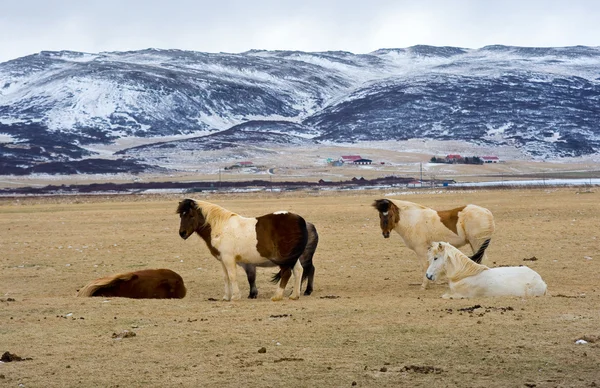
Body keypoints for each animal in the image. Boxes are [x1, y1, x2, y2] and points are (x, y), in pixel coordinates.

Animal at [175, 199, 308, 302]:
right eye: (181, 215)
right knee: (298, 271)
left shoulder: (229, 259)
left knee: (287, 273)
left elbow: (232, 276)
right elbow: (226, 277)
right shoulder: (223, 260)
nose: (182, 233)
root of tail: (299, 220)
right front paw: (226, 297)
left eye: (191, 215)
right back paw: (294, 295)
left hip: (285, 257)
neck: (221, 227)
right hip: (292, 257)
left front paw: (235, 297)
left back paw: (277, 296)